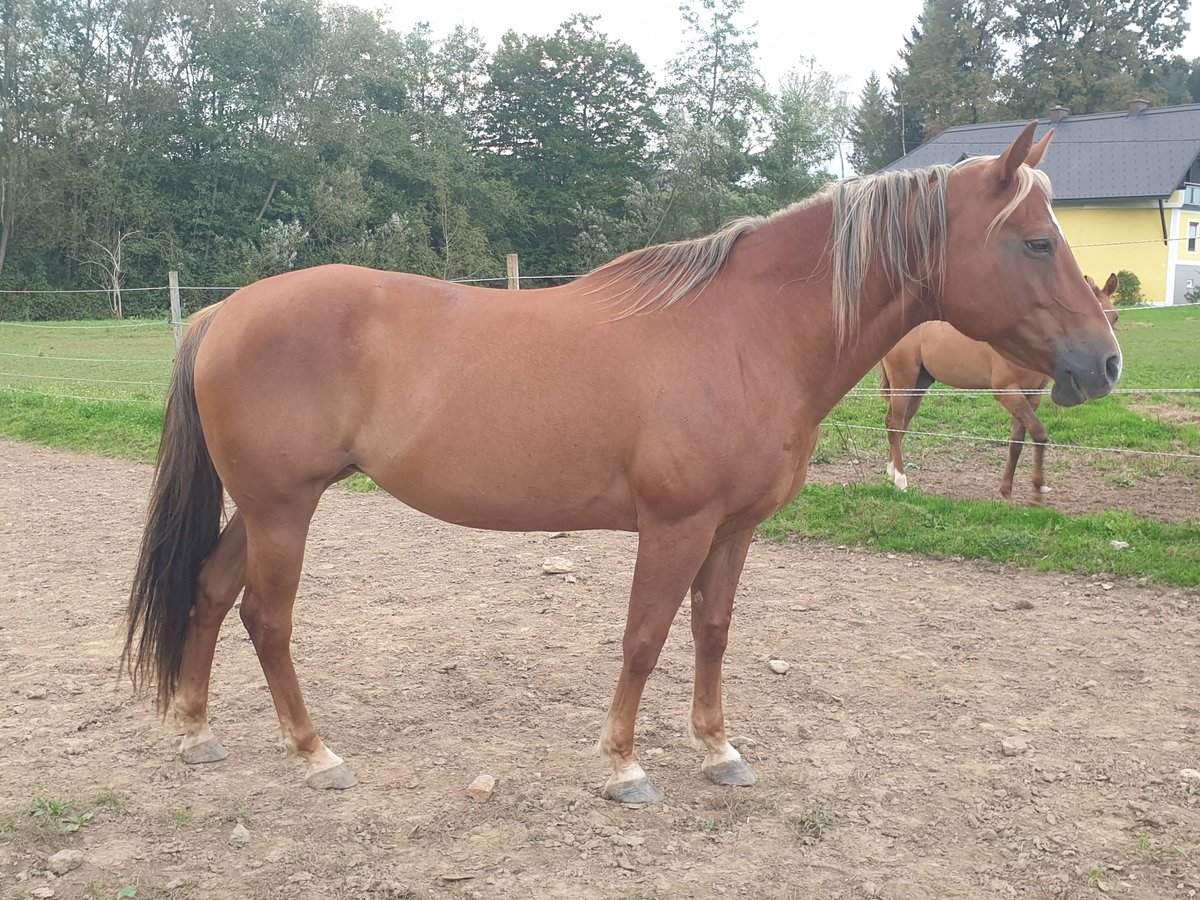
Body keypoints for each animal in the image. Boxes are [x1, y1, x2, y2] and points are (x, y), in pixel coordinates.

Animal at [878, 274, 1118, 501]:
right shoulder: (1007, 391)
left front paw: (1006, 492)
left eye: (1115, 316)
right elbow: (1039, 433)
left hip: (920, 384)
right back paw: (900, 479)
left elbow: (1017, 443)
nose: (1104, 365)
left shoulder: (1032, 396)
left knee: (900, 425)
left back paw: (890, 473)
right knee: (895, 423)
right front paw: (1036, 491)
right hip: (903, 381)